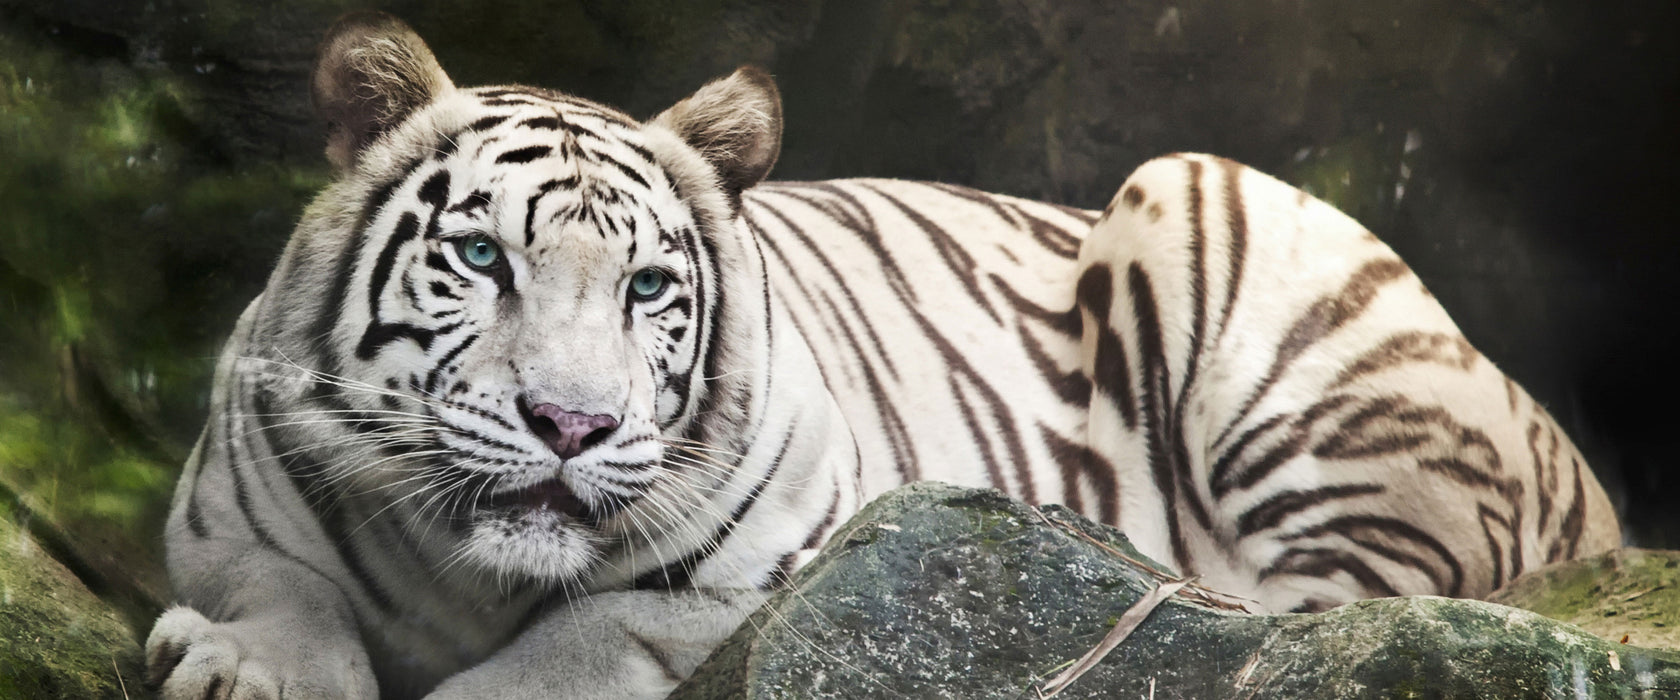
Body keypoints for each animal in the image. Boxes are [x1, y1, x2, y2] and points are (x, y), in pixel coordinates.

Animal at [147, 12, 1626, 698]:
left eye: (646, 288)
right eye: (478, 259)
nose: (572, 426)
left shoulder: (765, 567)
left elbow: (580, 640)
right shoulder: (227, 511)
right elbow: (282, 592)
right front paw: (239, 663)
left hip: (1219, 216)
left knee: (1325, 611)